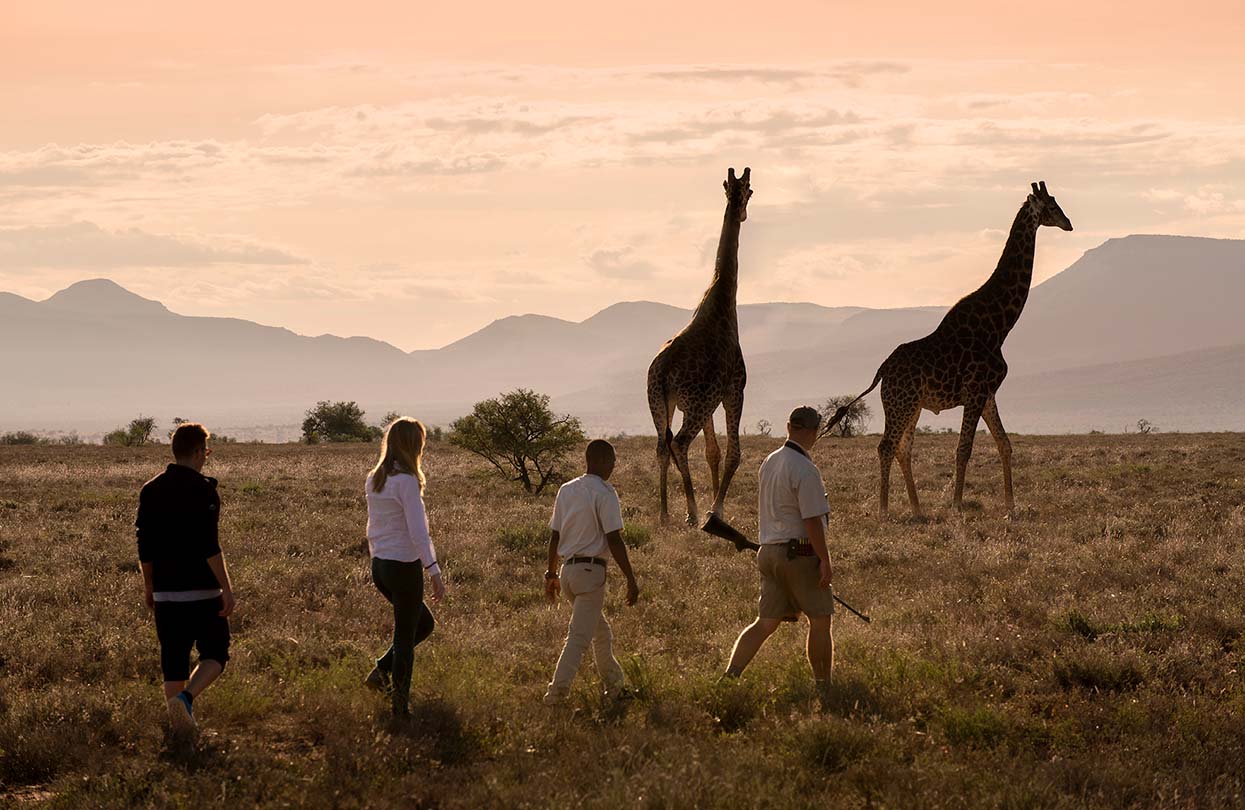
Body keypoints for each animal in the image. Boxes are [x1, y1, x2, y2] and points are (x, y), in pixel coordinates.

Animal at [647, 167, 751, 530]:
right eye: (751, 190)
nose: (744, 213)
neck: (722, 300)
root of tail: (661, 371)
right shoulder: (734, 389)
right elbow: (733, 452)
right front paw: (715, 509)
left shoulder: (712, 399)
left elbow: (713, 452)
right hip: (694, 403)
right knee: (678, 442)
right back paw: (692, 511)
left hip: (660, 402)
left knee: (662, 446)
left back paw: (665, 513)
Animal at [826, 180, 1070, 520]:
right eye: (1051, 206)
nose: (1069, 223)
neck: (999, 326)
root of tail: (882, 369)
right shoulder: (976, 391)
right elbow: (964, 448)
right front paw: (956, 505)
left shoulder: (988, 394)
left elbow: (1004, 444)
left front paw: (1011, 506)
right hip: (901, 403)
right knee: (886, 446)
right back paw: (884, 510)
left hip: (911, 405)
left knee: (903, 449)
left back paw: (917, 509)